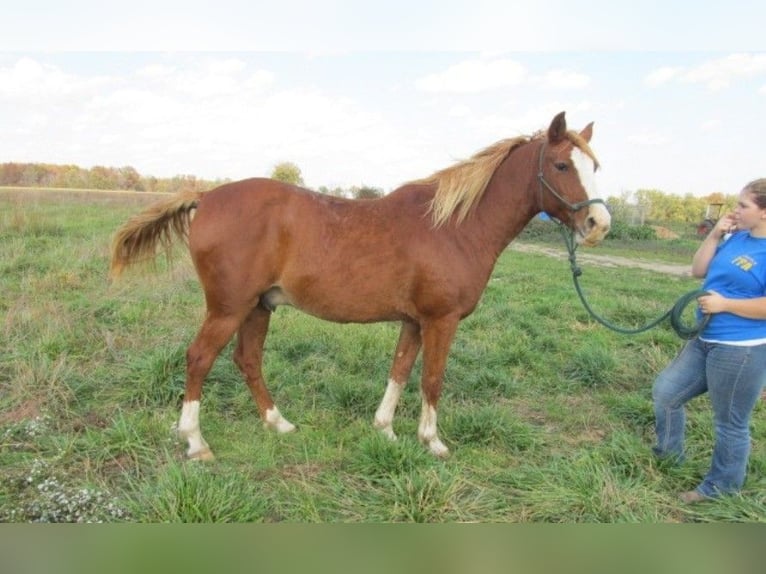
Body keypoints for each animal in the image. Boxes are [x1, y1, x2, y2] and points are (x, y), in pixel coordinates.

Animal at [109, 112, 612, 462]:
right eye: (562, 164)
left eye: (595, 166)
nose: (599, 224)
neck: (454, 226)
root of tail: (206, 195)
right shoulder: (441, 320)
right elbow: (432, 378)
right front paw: (432, 442)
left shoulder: (414, 321)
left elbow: (400, 371)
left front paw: (385, 430)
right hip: (228, 308)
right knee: (199, 359)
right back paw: (196, 443)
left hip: (257, 307)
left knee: (247, 360)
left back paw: (279, 424)